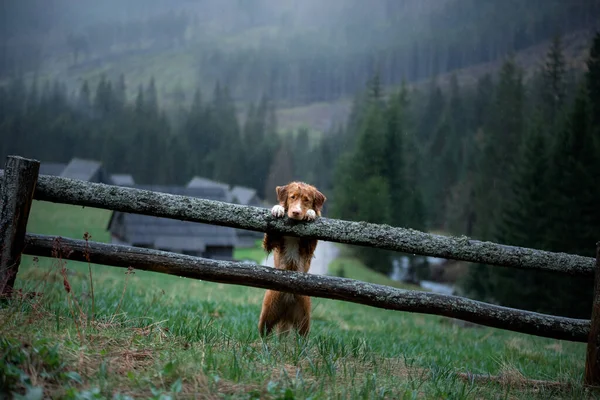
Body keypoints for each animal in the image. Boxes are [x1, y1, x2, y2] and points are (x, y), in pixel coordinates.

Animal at [256, 181, 326, 338]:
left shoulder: (308, 248)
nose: (296, 212)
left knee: (302, 338)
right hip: (266, 315)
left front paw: (311, 213)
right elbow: (270, 233)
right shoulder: (271, 242)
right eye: (292, 197)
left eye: (307, 200)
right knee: (263, 334)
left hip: (304, 320)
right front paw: (278, 208)